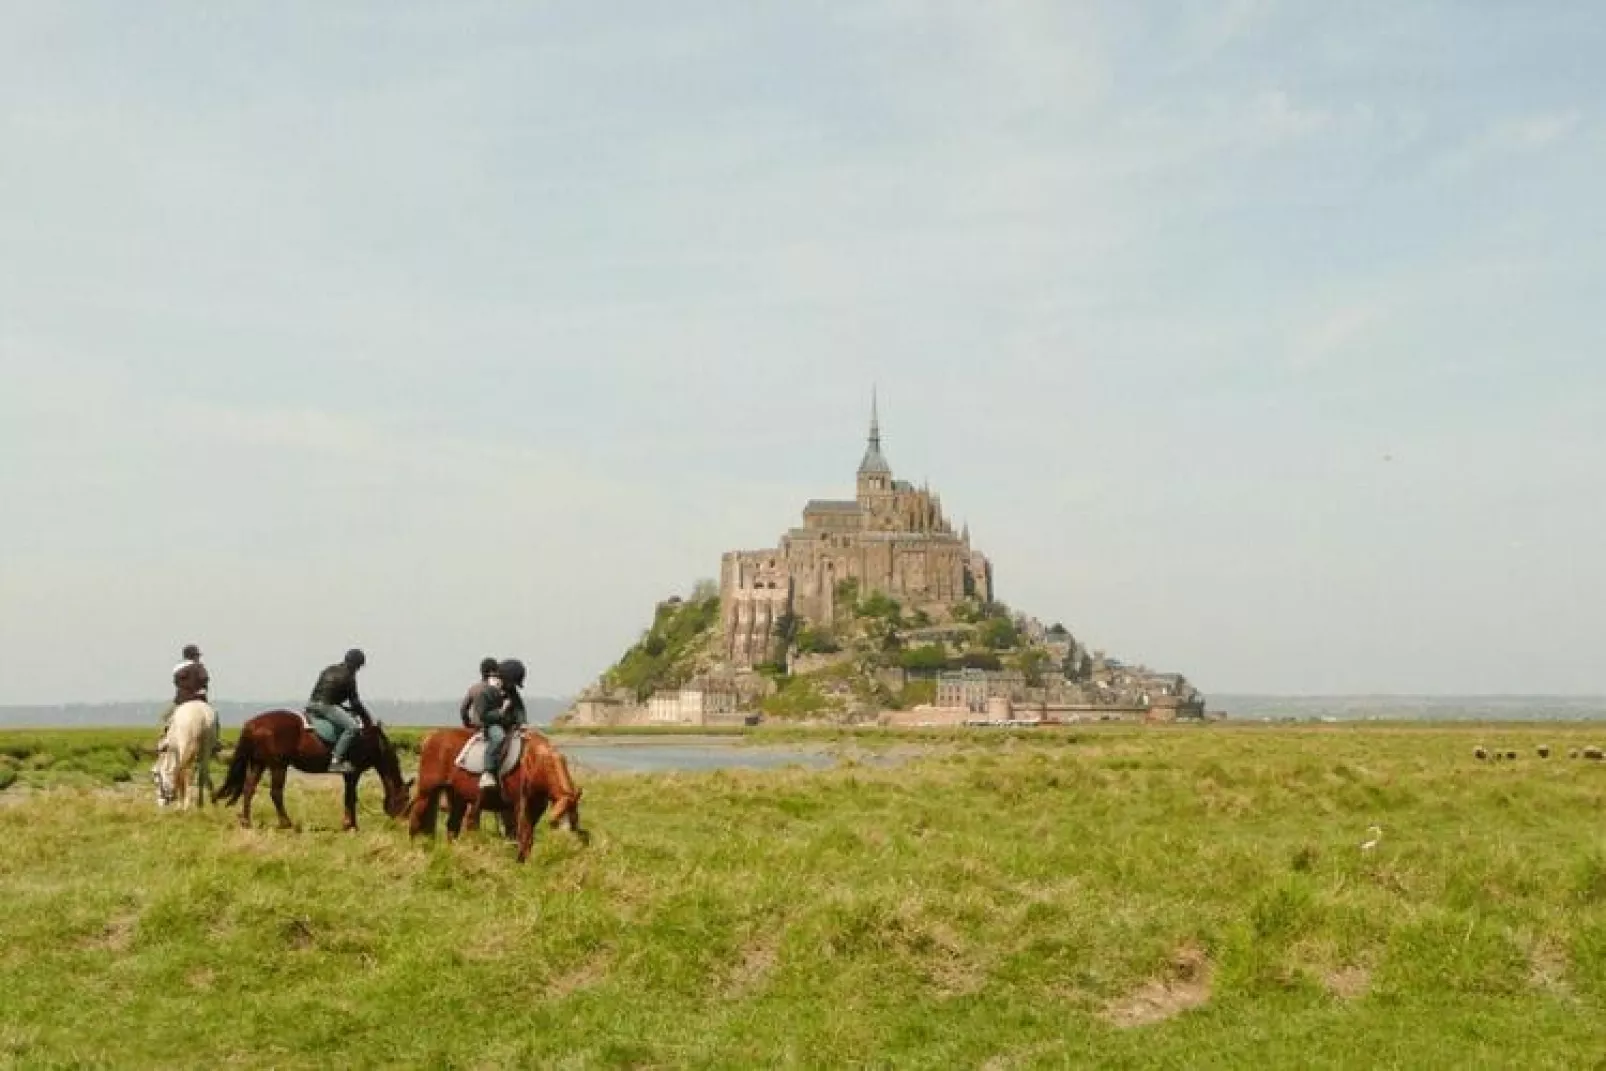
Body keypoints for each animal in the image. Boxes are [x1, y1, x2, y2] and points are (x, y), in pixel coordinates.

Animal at [215, 706, 411, 834]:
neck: (372, 741)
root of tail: (253, 724)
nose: (404, 822)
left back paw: (246, 821)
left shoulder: (349, 774)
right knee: (275, 793)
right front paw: (351, 825)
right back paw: (286, 823)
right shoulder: (353, 773)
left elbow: (349, 797)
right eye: (406, 799)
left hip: (258, 763)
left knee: (249, 789)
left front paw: (349, 824)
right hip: (278, 765)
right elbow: (350, 797)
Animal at [411, 728, 587, 860]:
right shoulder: (520, 806)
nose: (565, 848)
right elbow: (523, 835)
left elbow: (524, 836)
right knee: (416, 817)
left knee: (452, 826)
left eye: (574, 821)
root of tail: (430, 736)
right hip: (426, 791)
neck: (534, 761)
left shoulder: (534, 808)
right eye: (557, 823)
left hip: (456, 796)